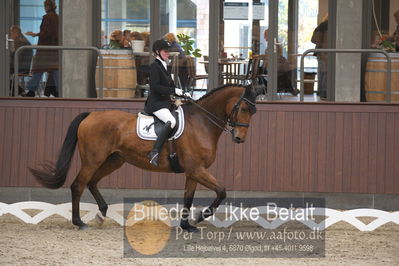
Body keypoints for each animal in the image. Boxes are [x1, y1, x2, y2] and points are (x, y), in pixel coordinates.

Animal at [29, 84, 258, 232]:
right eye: (243, 108)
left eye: (253, 112)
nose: (239, 138)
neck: (202, 122)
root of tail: (91, 114)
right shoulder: (197, 169)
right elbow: (221, 191)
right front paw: (201, 216)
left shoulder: (193, 172)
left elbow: (188, 197)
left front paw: (187, 225)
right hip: (93, 160)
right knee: (78, 185)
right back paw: (79, 222)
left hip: (114, 160)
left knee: (92, 182)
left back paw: (101, 214)